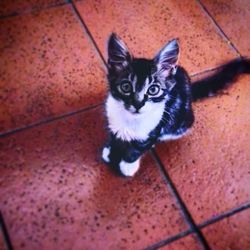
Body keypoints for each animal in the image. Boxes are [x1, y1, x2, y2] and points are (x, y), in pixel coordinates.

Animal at [101, 33, 250, 177]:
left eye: (153, 90)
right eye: (126, 87)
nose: (138, 104)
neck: (130, 120)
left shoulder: (156, 127)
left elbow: (137, 149)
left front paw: (127, 166)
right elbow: (114, 137)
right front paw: (110, 153)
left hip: (181, 123)